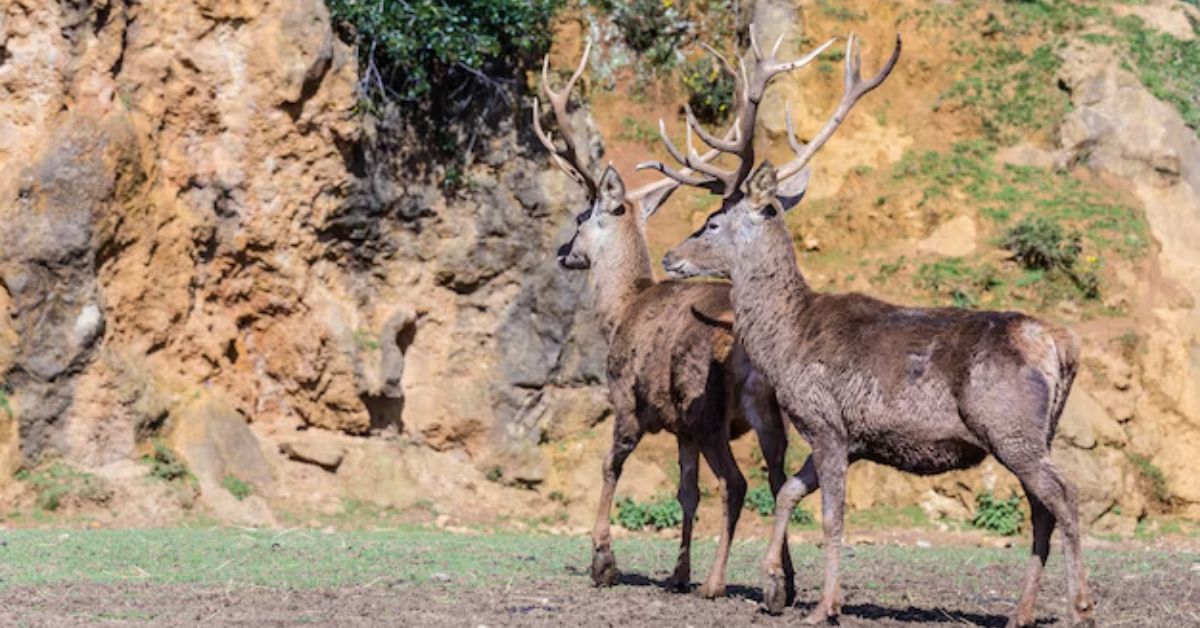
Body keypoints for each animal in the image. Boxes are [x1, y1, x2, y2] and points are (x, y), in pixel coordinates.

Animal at [532, 38, 825, 600]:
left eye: (581, 219)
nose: (562, 252)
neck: (622, 309)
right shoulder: (681, 430)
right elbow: (685, 491)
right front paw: (677, 571)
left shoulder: (627, 399)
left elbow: (611, 466)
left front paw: (603, 561)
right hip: (766, 412)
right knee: (778, 479)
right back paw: (784, 583)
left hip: (708, 407)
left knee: (737, 483)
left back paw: (719, 582)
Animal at [648, 28, 1099, 628]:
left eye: (714, 222)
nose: (670, 256)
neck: (788, 343)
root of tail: (1061, 345)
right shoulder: (846, 436)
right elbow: (789, 493)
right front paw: (773, 586)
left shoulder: (826, 420)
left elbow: (831, 517)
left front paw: (825, 606)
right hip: (1033, 432)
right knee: (1041, 510)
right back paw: (1020, 613)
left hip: (1010, 425)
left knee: (1065, 498)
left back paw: (1081, 606)